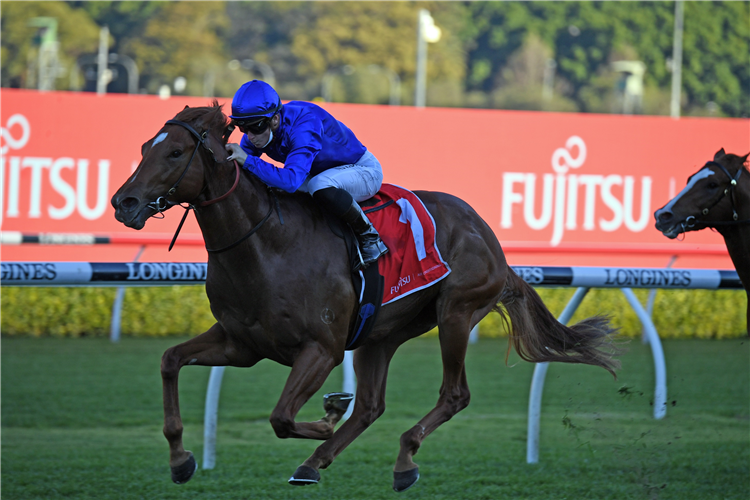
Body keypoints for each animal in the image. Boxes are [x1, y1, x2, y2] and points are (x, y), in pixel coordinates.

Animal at [110, 102, 616, 492]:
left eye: (176, 151)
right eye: (144, 147)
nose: (123, 203)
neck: (267, 245)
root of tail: (489, 237)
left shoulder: (322, 348)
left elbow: (281, 417)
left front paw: (328, 412)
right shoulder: (241, 343)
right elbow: (171, 360)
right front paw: (180, 460)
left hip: (456, 312)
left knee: (455, 394)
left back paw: (403, 459)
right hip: (380, 333)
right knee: (372, 405)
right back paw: (315, 463)